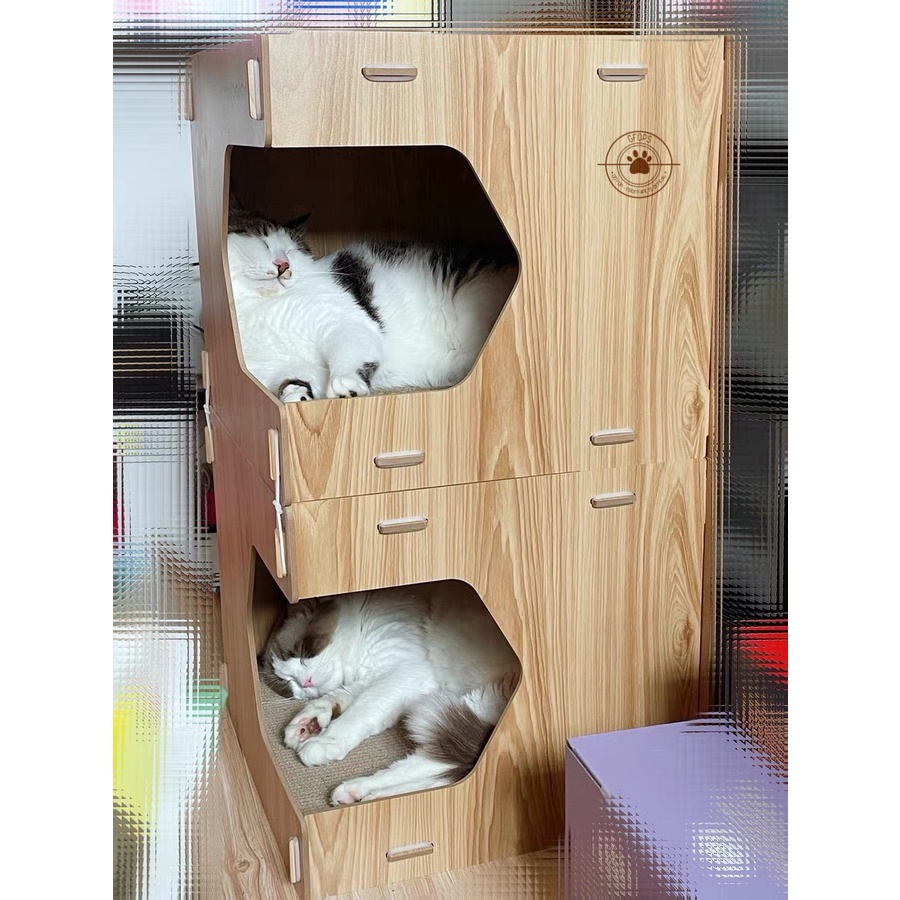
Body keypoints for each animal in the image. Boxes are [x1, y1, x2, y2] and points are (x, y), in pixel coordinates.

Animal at [226, 208, 518, 402]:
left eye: (293, 250)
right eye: (262, 242)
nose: (283, 265)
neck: (258, 310)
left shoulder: (342, 320)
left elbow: (347, 350)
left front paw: (344, 383)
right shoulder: (281, 369)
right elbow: (292, 382)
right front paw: (296, 395)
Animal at [257, 585, 519, 806]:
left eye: (301, 653)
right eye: (287, 683)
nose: (304, 683)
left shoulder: (402, 672)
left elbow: (356, 713)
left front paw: (323, 740)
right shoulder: (378, 676)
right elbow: (338, 699)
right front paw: (306, 724)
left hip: (474, 703)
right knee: (434, 771)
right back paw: (356, 793)